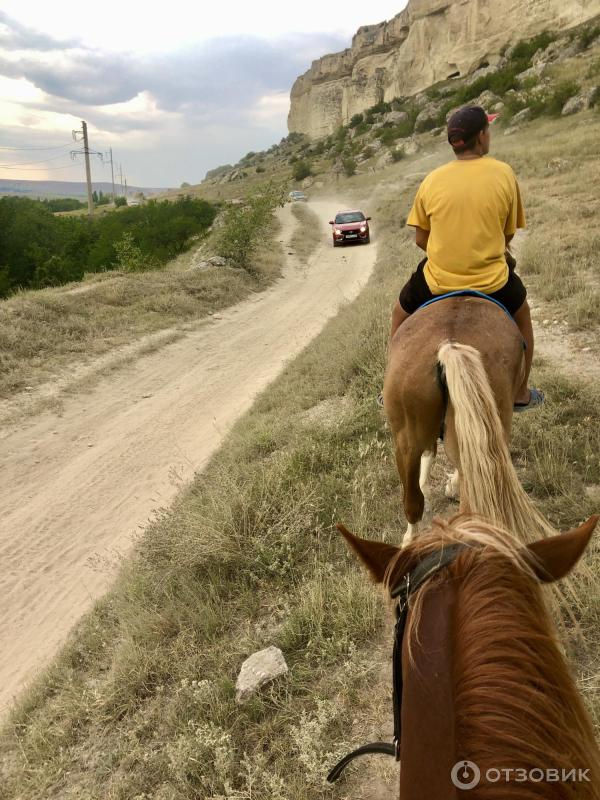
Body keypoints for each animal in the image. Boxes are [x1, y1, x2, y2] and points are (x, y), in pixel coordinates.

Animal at [384, 296, 552, 548]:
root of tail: (449, 346)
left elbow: (431, 455)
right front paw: (452, 485)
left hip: (406, 439)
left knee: (413, 501)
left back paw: (411, 539)